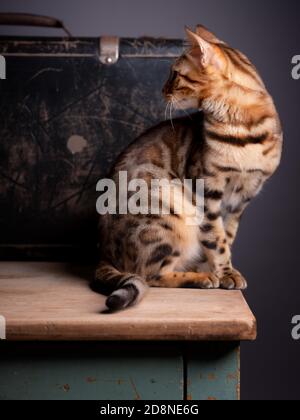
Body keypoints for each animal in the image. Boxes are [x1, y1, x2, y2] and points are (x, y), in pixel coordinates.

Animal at [92, 23, 284, 312]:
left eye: (175, 74)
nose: (162, 89)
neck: (244, 129)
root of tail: (103, 252)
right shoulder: (208, 190)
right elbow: (216, 239)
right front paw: (224, 273)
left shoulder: (242, 199)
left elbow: (226, 236)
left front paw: (221, 270)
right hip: (170, 212)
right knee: (148, 275)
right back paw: (199, 278)